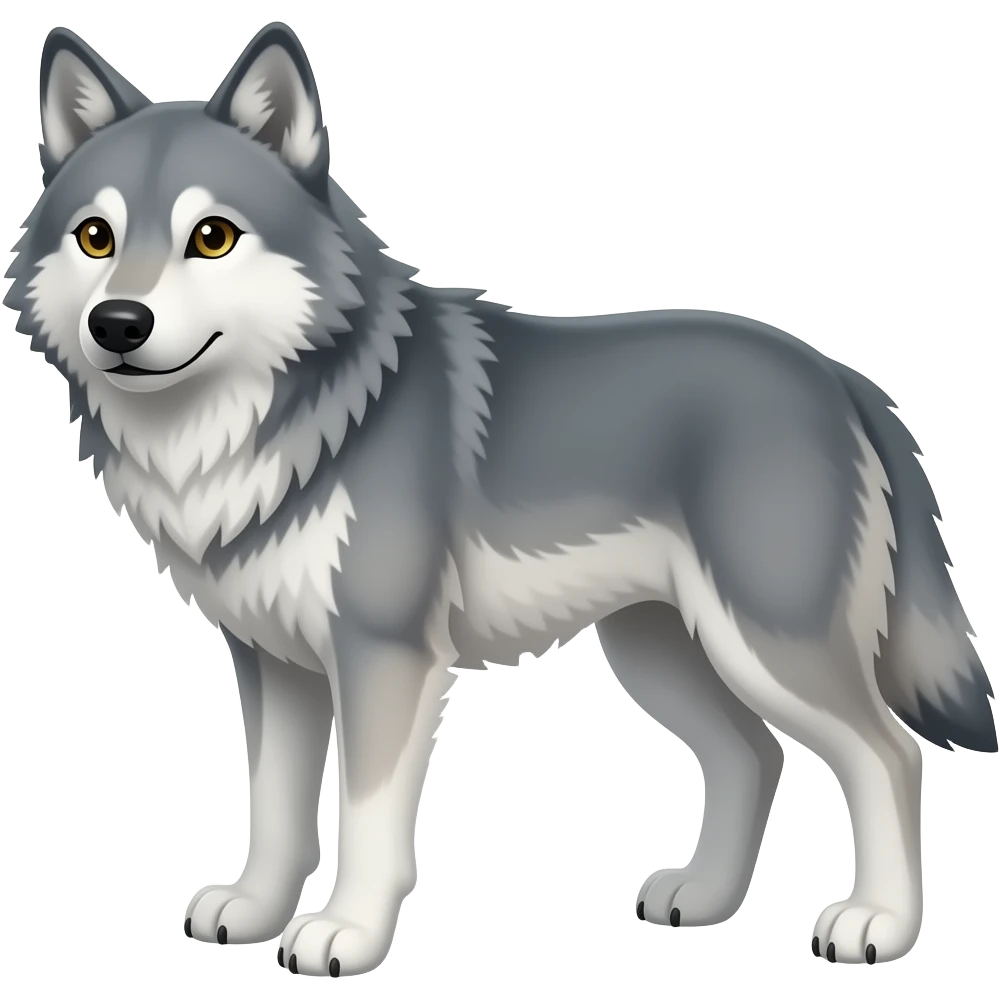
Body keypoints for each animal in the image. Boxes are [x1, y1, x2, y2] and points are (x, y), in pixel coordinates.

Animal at [5, 19, 995, 978]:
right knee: (754, 753)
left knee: (888, 754)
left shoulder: (384, 657)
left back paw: (877, 925)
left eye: (211, 236)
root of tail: (842, 378)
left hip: (765, 644)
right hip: (662, 652)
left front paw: (345, 934)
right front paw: (254, 911)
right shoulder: (274, 664)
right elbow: (277, 811)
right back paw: (705, 899)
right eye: (95, 238)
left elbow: (366, 816)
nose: (117, 324)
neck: (274, 423)